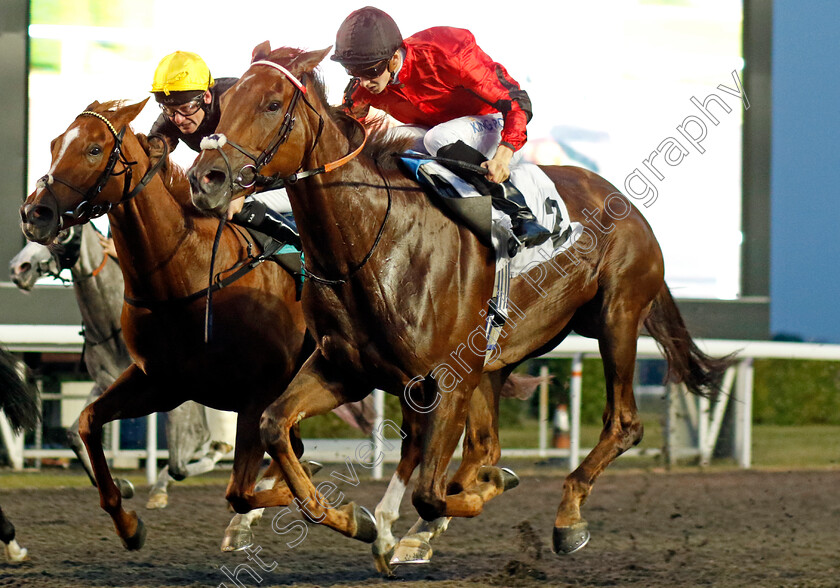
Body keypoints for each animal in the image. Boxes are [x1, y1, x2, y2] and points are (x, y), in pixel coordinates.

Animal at [16, 97, 368, 552]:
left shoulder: (258, 392)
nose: (34, 213)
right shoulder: (162, 382)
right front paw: (128, 523)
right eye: (55, 143)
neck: (186, 276)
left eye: (94, 149)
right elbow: (87, 422)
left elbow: (241, 489)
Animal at [187, 44, 732, 568]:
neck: (373, 242)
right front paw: (355, 520)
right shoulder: (344, 369)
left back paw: (566, 516)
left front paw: (469, 494)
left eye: (272, 104)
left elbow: (431, 491)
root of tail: (624, 201)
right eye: (223, 106)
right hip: (498, 357)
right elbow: (274, 427)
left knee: (623, 423)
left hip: (616, 318)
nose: (205, 179)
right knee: (484, 444)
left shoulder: (446, 380)